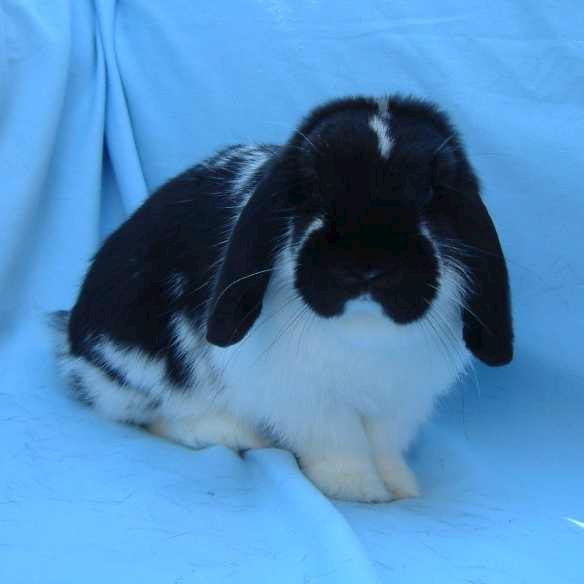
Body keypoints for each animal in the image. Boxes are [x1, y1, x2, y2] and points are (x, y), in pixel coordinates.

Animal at [52, 94, 512, 502]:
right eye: (313, 191)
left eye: (432, 196)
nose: (367, 264)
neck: (365, 329)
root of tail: (72, 340)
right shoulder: (307, 399)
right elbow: (340, 442)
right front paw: (358, 489)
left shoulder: (398, 401)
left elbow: (384, 445)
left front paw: (400, 486)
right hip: (138, 369)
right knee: (149, 413)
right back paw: (228, 433)